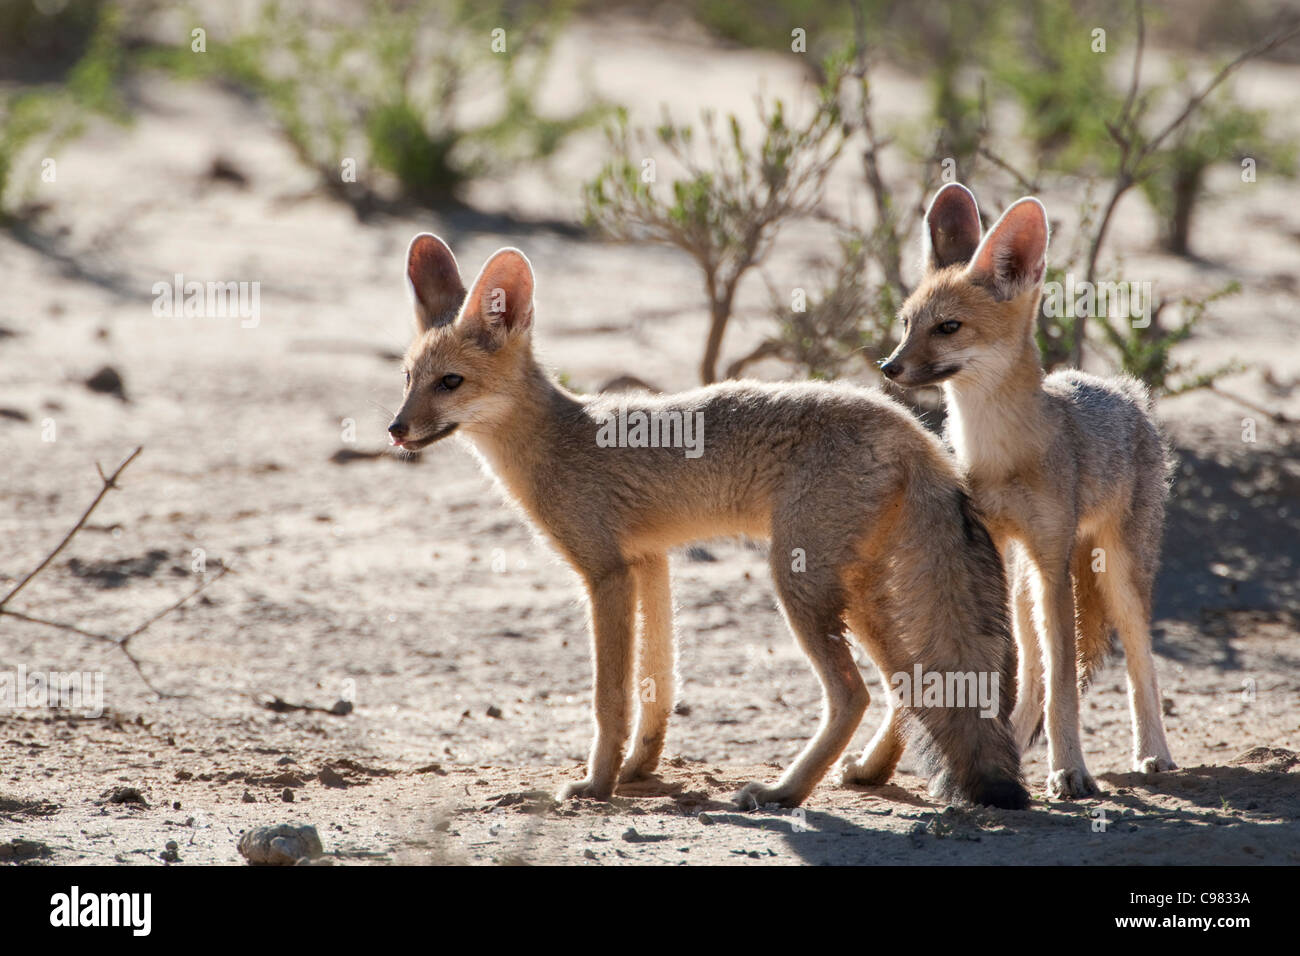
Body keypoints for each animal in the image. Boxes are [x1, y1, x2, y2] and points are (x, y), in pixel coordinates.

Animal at [384, 231, 1024, 806]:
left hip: (798, 583)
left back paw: (784, 792)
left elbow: (610, 697)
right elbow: (658, 681)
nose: (395, 429)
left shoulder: (605, 574)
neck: (558, 440)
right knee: (910, 685)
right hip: (855, 595)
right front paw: (639, 768)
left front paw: (597, 784)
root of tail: (913, 428)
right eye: (408, 378)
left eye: (450, 383)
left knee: (854, 695)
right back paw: (867, 772)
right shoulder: (650, 561)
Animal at [883, 183, 1180, 796]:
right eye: (906, 323)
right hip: (1023, 583)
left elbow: (1065, 681)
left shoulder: (1052, 562)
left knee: (1138, 660)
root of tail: (1125, 391)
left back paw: (1153, 752)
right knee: (1032, 665)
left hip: (1115, 575)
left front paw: (1070, 769)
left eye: (947, 327)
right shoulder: (994, 546)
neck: (999, 453)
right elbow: (1017, 669)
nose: (888, 366)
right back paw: (1016, 745)